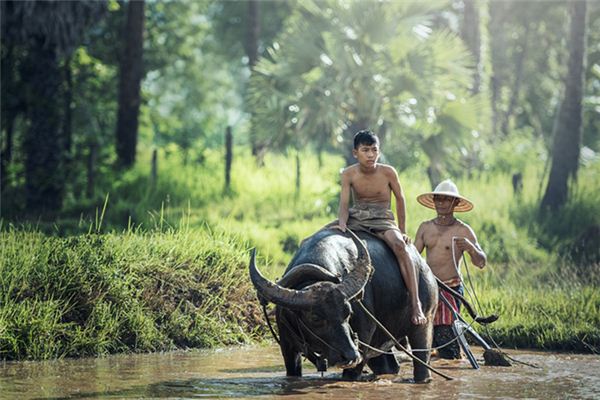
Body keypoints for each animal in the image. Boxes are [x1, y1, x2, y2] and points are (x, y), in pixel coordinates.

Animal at [246, 228, 438, 382]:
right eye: (315, 317)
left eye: (348, 312)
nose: (350, 356)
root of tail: (424, 267)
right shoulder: (288, 347)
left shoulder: (363, 343)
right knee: (388, 366)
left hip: (425, 323)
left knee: (422, 360)